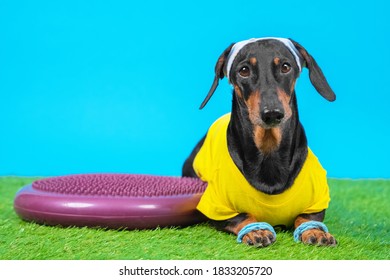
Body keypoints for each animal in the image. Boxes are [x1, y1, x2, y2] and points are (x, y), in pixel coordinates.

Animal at [183, 37, 338, 247]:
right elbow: (242, 216)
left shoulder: (317, 200)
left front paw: (315, 231)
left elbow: (307, 217)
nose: (272, 113)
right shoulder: (216, 206)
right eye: (244, 70)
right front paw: (256, 230)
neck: (269, 150)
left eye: (286, 67)